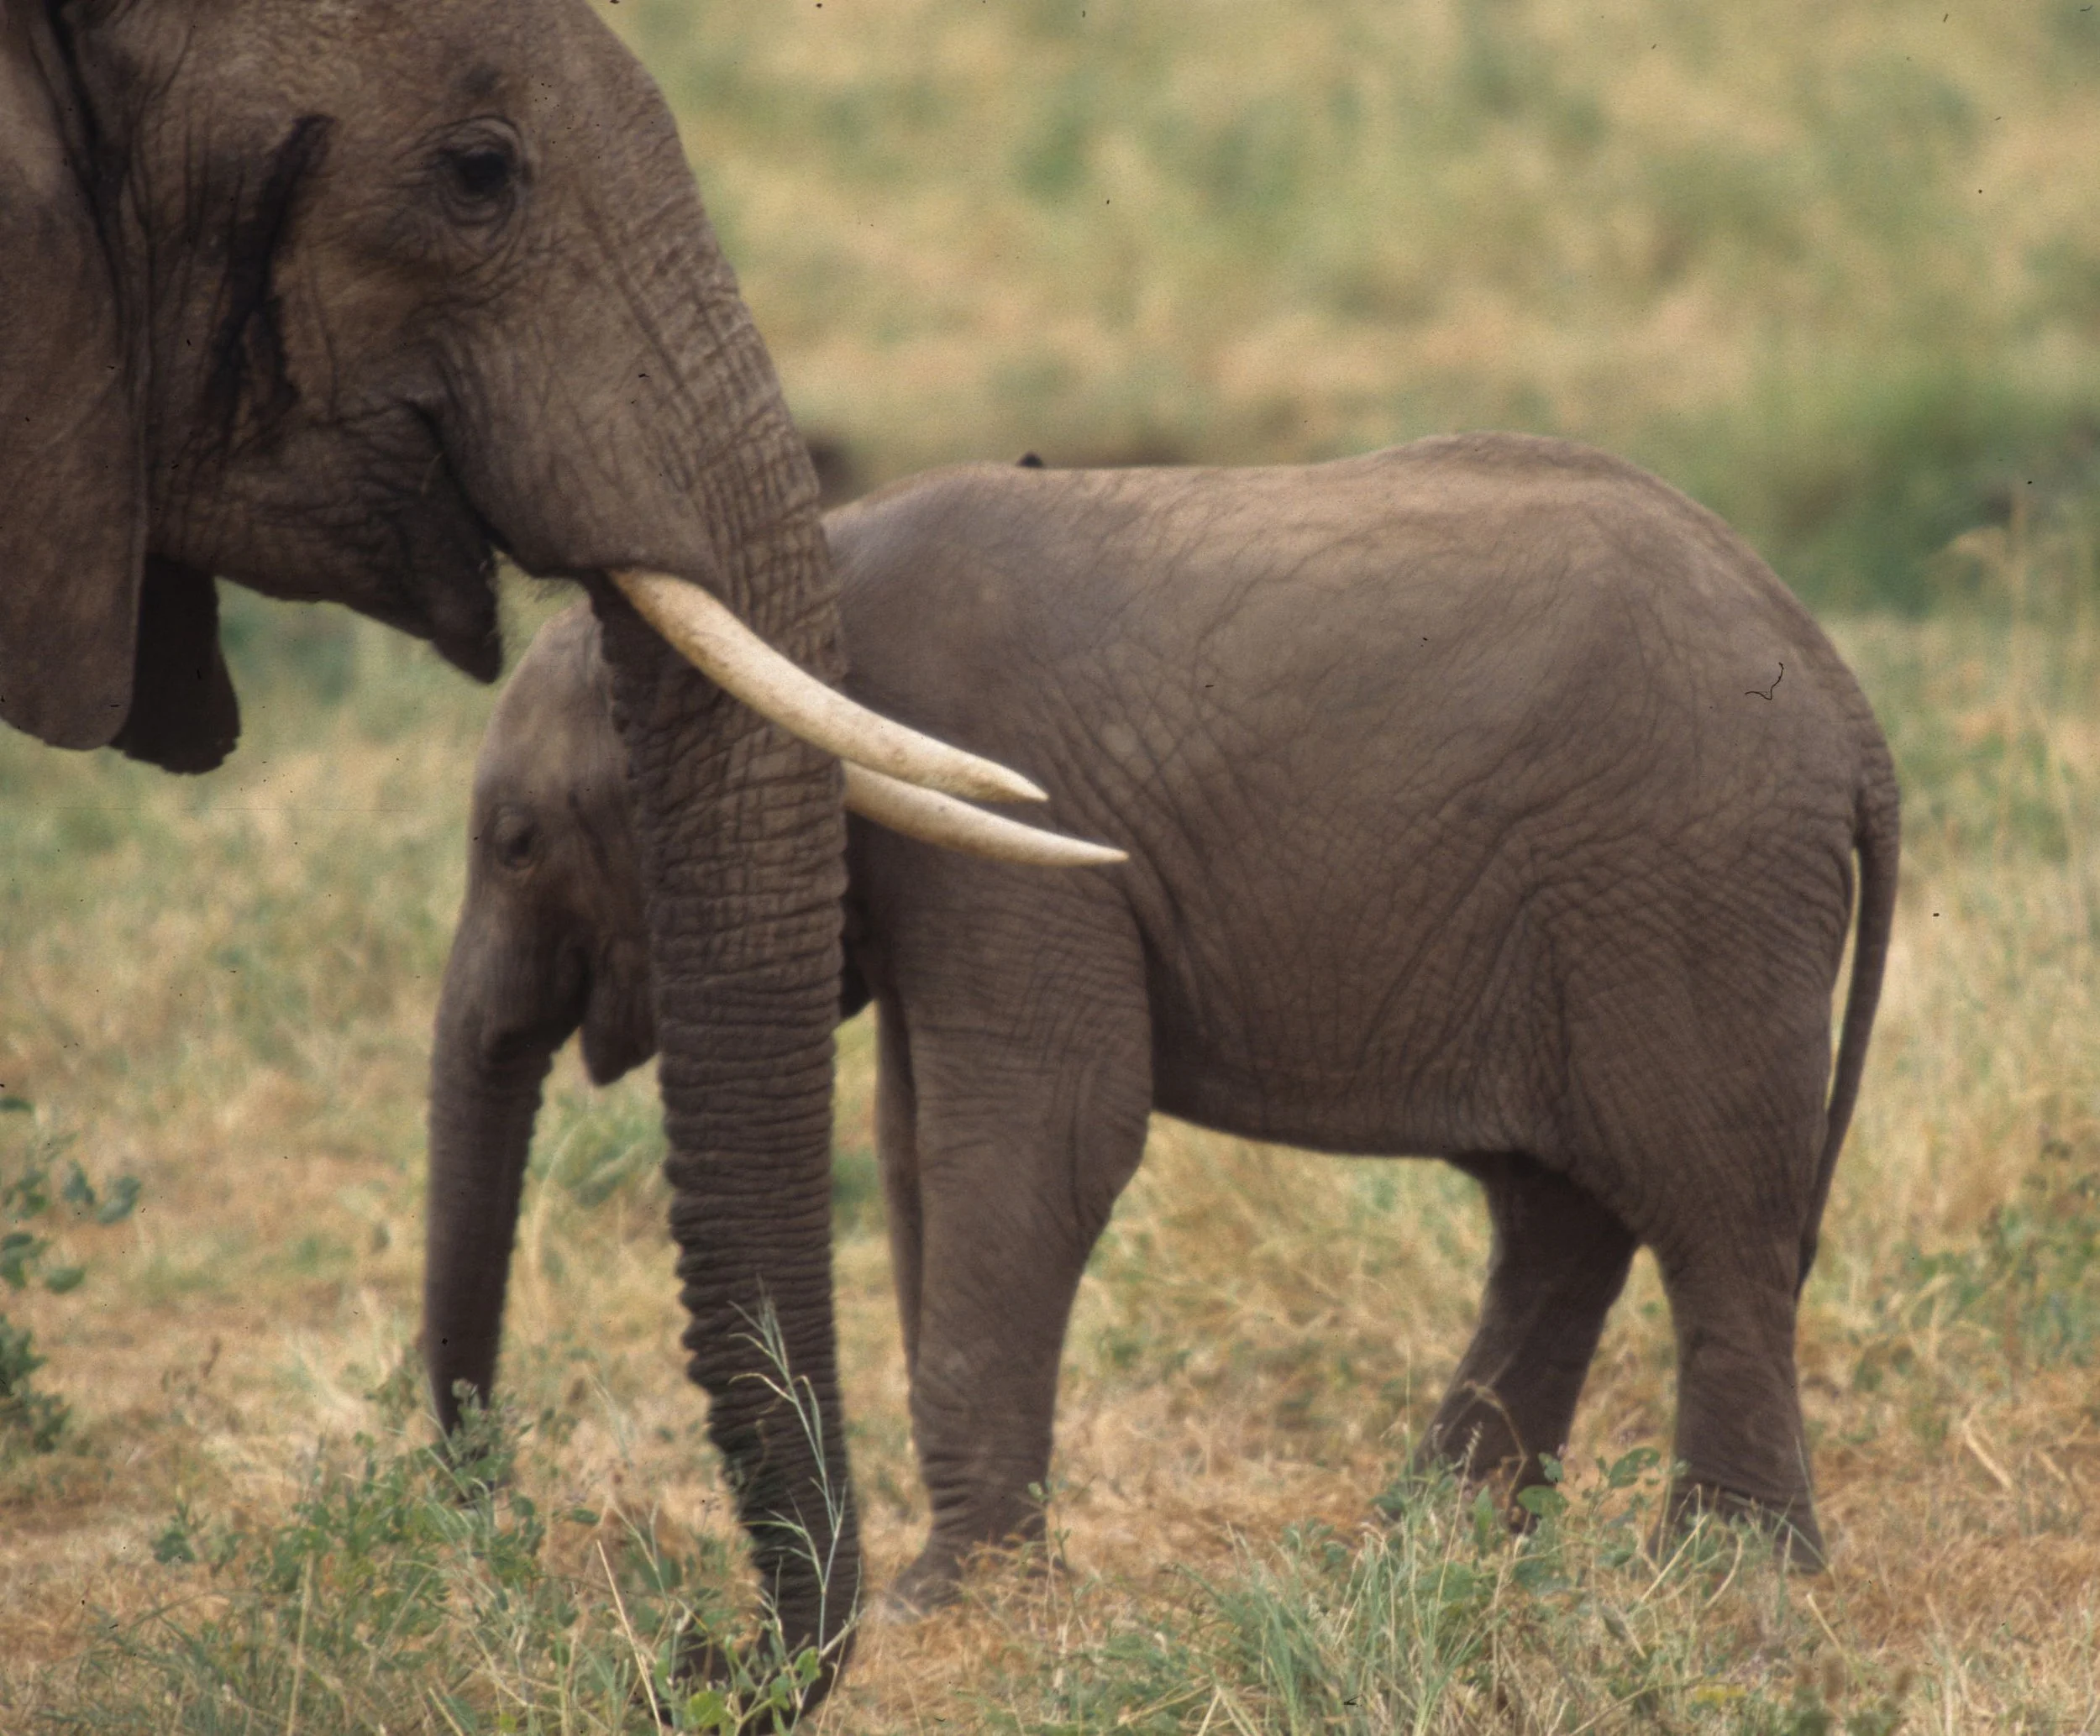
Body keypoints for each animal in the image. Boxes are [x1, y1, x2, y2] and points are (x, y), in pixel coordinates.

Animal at [427, 438, 1901, 1611]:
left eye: (515, 842)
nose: (477, 1510)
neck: (804, 593)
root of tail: (1851, 708)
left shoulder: (1015, 832)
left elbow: (1038, 1139)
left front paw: (943, 1604)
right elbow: (914, 1149)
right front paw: (971, 1581)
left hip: (1691, 889)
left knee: (1711, 1210)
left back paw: (1724, 1580)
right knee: (1561, 1211)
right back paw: (1420, 1548)